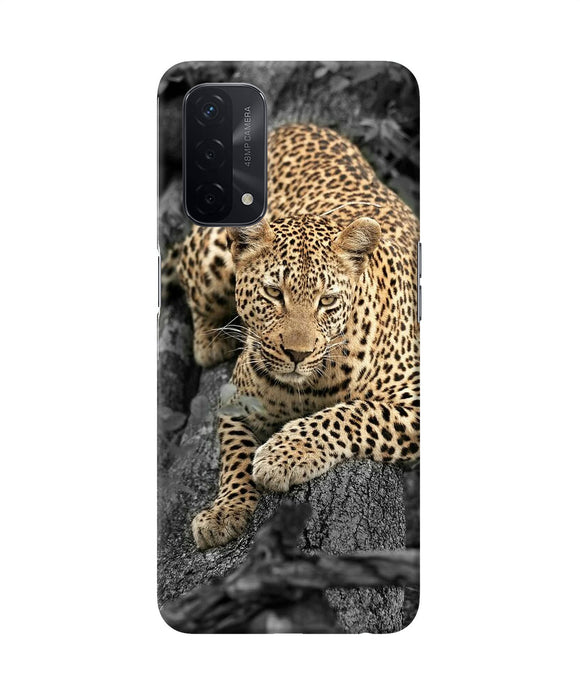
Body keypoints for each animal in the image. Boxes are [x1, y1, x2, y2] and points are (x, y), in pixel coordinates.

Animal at [165, 123, 420, 550]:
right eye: (273, 293)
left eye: (327, 300)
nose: (297, 354)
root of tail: (291, 126)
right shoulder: (235, 399)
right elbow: (234, 454)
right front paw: (224, 511)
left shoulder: (415, 400)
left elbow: (352, 413)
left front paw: (282, 455)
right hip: (211, 256)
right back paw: (211, 340)